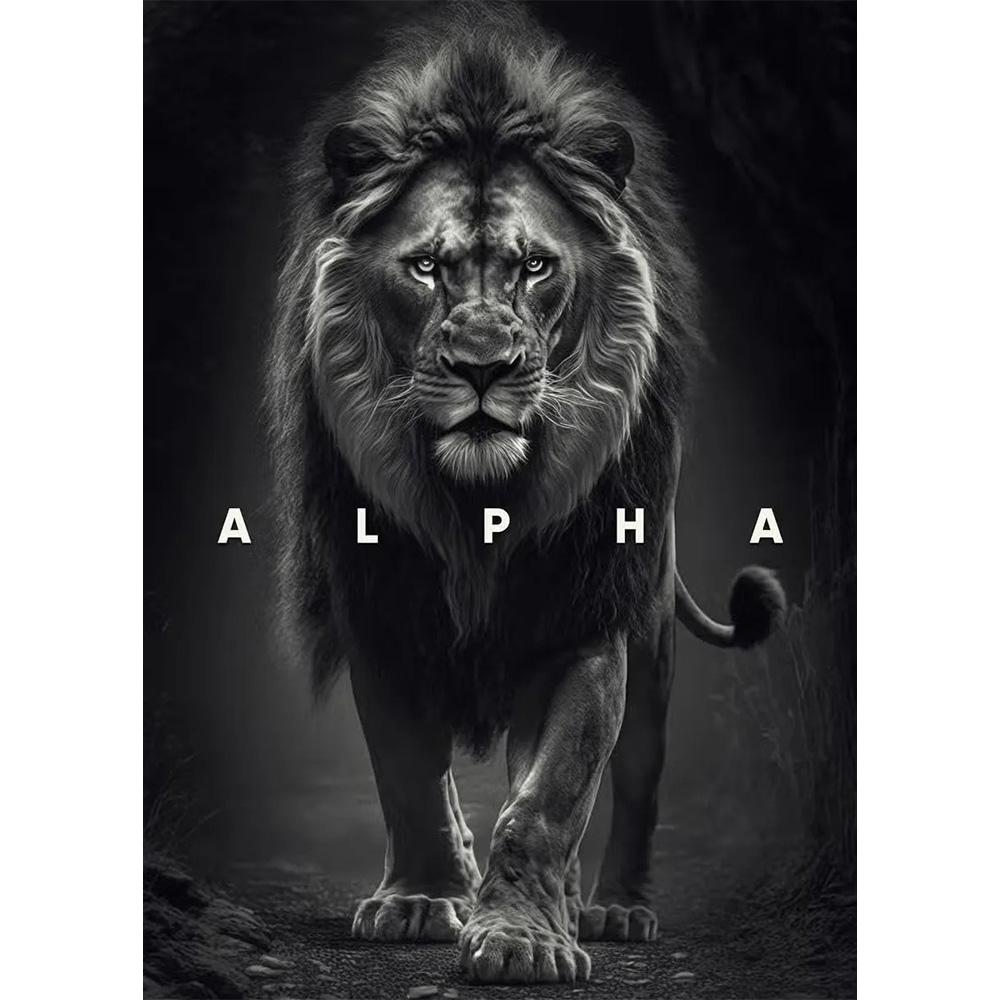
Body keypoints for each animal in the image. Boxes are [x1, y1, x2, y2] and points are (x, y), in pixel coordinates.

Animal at [266, 5, 785, 985]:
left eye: (537, 267)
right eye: (425, 268)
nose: (484, 367)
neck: (477, 508)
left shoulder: (578, 621)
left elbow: (551, 799)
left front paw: (522, 941)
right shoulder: (381, 610)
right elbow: (407, 771)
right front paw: (421, 900)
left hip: (652, 644)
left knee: (636, 778)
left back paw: (611, 910)